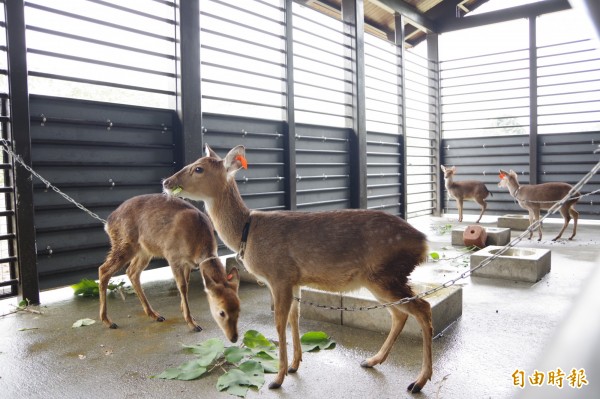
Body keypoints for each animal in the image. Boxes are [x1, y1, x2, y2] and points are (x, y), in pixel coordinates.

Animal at [97, 194, 240, 344]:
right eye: (222, 312)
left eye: (239, 310)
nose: (234, 338)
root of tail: (108, 223)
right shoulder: (173, 256)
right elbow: (182, 286)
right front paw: (192, 323)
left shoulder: (187, 263)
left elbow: (186, 283)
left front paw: (187, 314)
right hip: (124, 242)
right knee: (104, 270)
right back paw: (108, 321)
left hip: (144, 250)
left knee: (132, 271)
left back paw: (154, 315)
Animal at [162, 145, 434, 394]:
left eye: (198, 168)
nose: (166, 181)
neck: (247, 232)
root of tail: (423, 242)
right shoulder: (295, 280)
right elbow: (295, 317)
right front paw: (294, 365)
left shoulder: (279, 275)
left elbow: (279, 323)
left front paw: (277, 379)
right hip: (380, 279)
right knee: (399, 314)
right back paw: (372, 360)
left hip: (385, 274)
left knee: (422, 308)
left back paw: (418, 382)